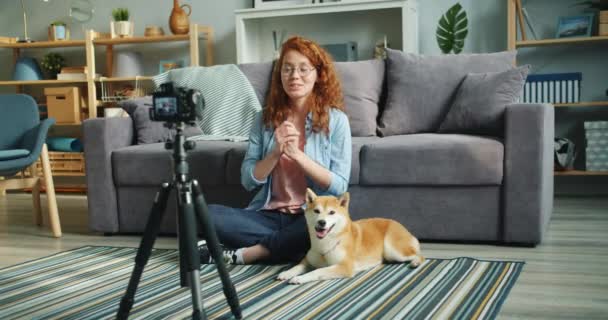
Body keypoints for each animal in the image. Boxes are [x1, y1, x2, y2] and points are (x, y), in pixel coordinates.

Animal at [276, 189, 422, 284]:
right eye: (316, 211)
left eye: (331, 212)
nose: (321, 222)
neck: (325, 244)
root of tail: (398, 224)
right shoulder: (308, 260)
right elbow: (297, 266)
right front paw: (286, 273)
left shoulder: (344, 267)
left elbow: (318, 271)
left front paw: (300, 278)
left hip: (392, 250)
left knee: (419, 255)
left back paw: (415, 262)